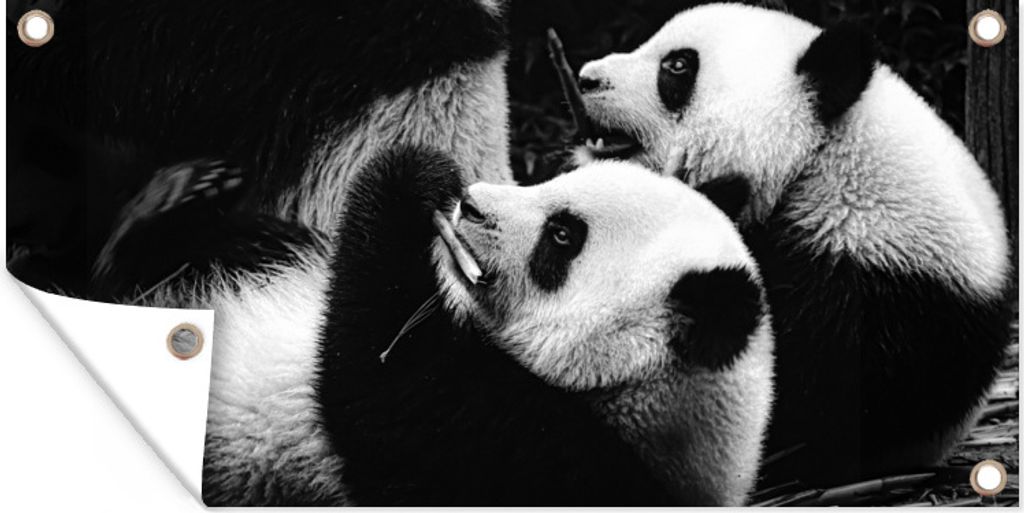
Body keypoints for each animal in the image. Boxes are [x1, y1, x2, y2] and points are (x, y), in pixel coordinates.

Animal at [109, 147, 773, 505]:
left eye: (563, 236)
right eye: (551, 177)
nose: (470, 203)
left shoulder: (534, 459)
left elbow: (381, 380)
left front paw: (405, 183)